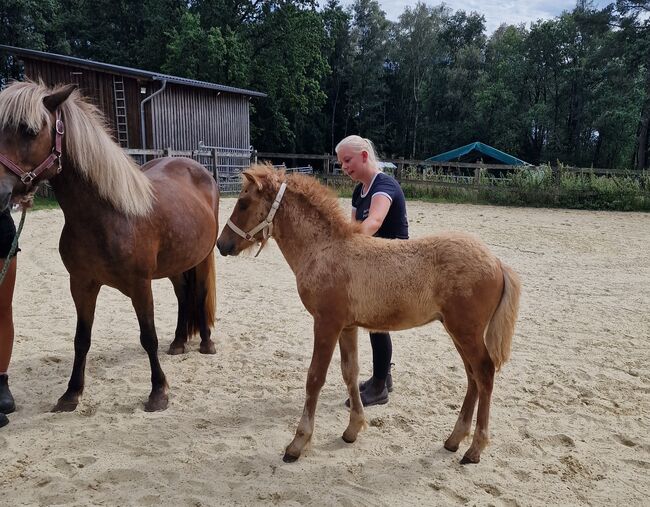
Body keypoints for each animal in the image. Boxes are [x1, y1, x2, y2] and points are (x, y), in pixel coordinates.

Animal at [0, 79, 219, 412]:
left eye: (29, 130)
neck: (108, 215)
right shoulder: (81, 284)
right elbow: (81, 340)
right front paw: (71, 394)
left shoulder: (140, 285)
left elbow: (148, 337)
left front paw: (158, 393)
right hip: (175, 263)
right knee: (183, 295)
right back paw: (179, 342)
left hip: (202, 257)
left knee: (201, 293)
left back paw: (206, 342)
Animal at [218, 165, 520, 466]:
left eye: (243, 203)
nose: (222, 244)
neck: (324, 249)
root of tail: (496, 261)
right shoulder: (347, 327)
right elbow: (349, 373)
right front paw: (352, 429)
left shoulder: (326, 324)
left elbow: (315, 378)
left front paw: (297, 443)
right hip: (457, 331)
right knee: (472, 376)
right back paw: (454, 439)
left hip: (466, 331)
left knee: (484, 373)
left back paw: (475, 449)